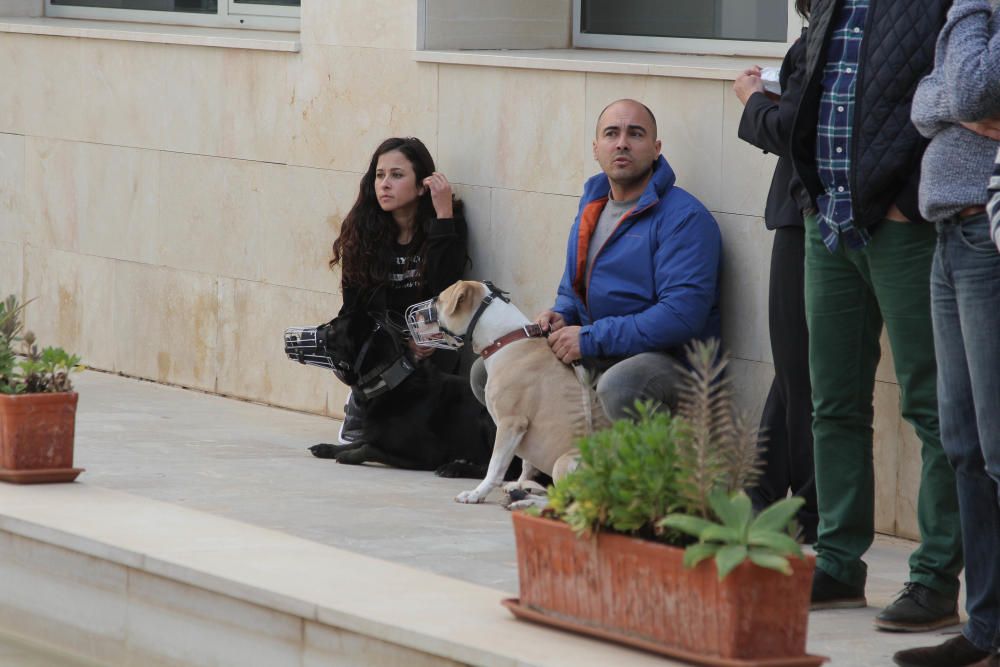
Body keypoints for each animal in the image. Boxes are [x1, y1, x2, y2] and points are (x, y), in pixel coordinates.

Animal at [294, 310, 500, 478]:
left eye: (332, 328)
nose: (295, 339)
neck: (390, 382)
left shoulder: (427, 454)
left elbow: (368, 447)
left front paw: (347, 455)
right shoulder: (374, 434)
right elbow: (358, 441)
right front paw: (329, 448)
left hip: (488, 418)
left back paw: (456, 468)